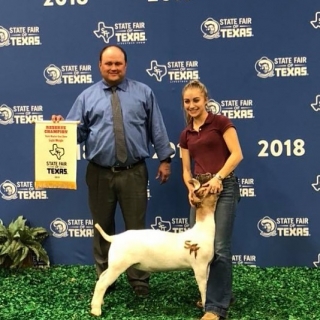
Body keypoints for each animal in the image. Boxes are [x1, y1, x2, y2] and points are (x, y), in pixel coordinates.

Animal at [91, 179, 219, 316]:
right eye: (206, 191)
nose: (219, 185)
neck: (202, 231)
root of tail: (115, 238)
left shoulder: (207, 266)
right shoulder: (199, 266)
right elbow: (203, 287)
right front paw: (205, 307)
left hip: (114, 265)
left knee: (101, 278)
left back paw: (98, 303)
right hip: (118, 265)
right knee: (102, 284)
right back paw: (96, 310)